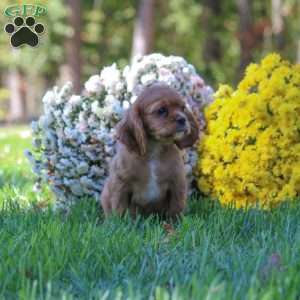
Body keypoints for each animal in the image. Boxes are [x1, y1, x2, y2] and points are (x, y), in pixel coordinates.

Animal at [100, 83, 199, 217]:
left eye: (183, 108)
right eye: (161, 110)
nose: (183, 119)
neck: (154, 150)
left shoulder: (177, 183)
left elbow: (176, 208)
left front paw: (176, 222)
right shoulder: (120, 184)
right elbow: (120, 207)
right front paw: (119, 221)